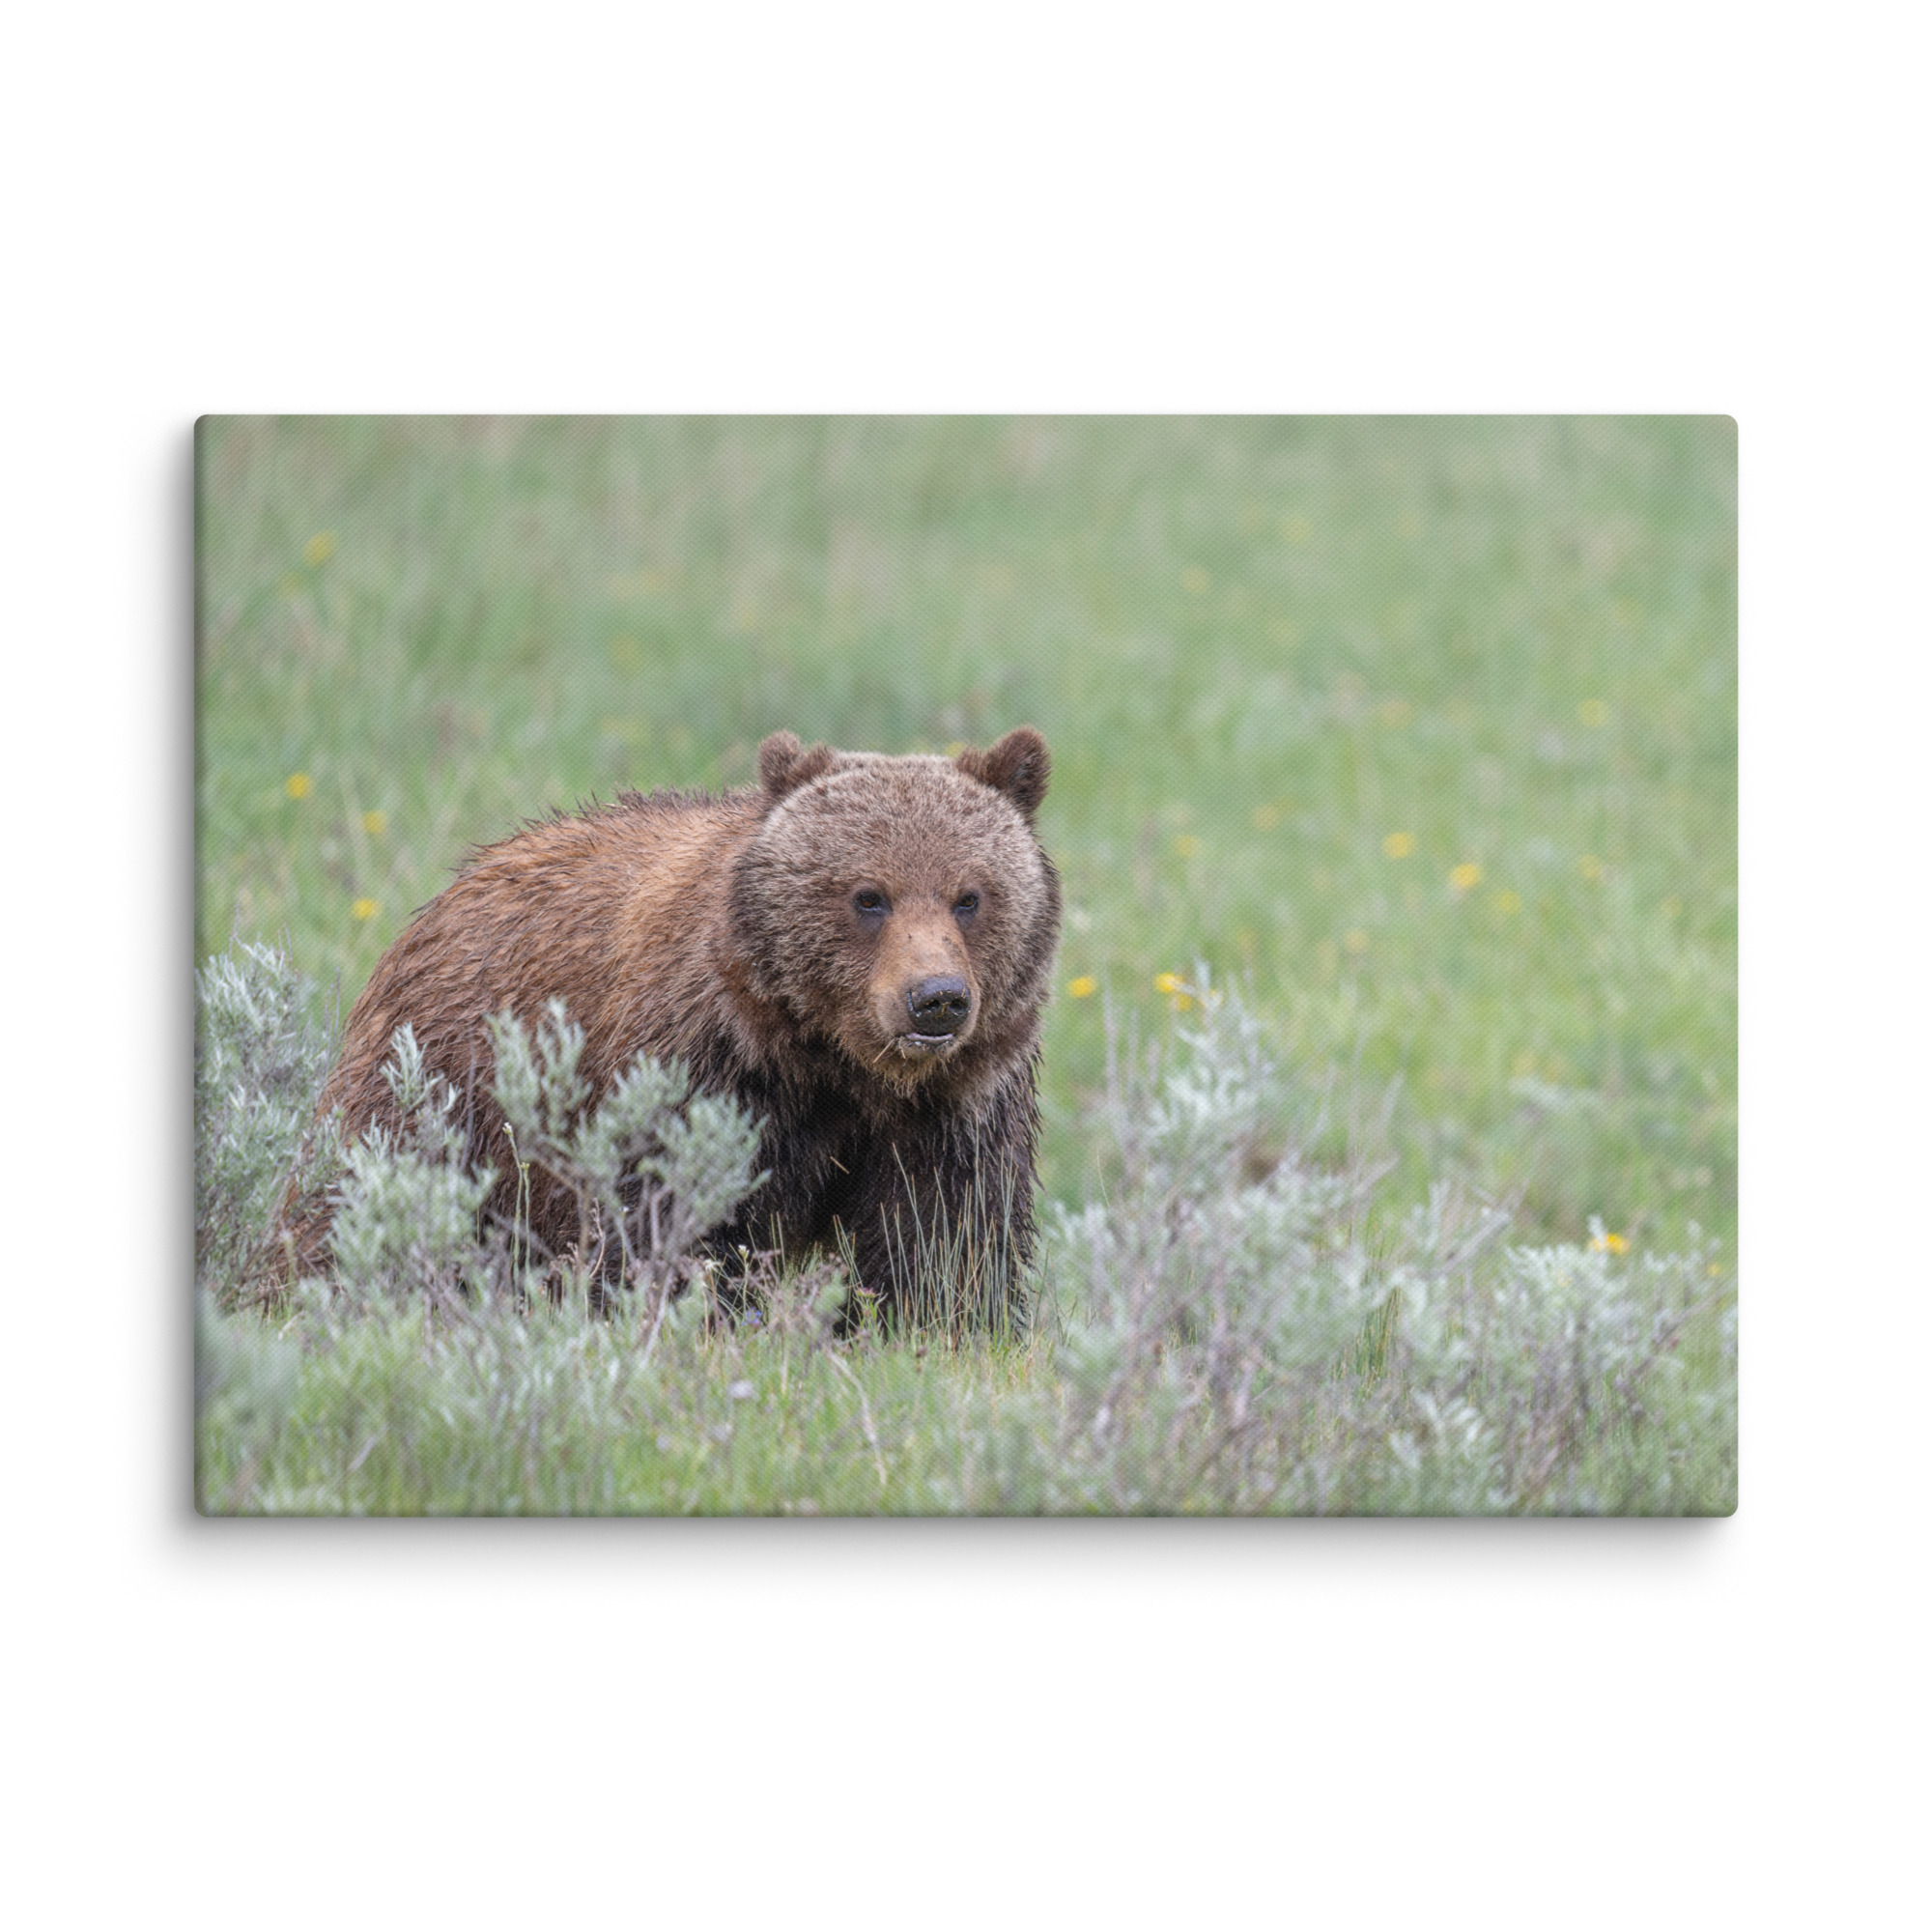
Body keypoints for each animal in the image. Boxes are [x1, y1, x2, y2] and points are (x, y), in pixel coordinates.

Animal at [292, 727, 1061, 1320]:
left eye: (970, 896)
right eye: (868, 895)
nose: (936, 998)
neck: (836, 1064)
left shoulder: (953, 1107)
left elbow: (944, 1239)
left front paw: (936, 1325)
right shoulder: (702, 1069)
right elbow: (667, 1218)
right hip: (442, 1084)